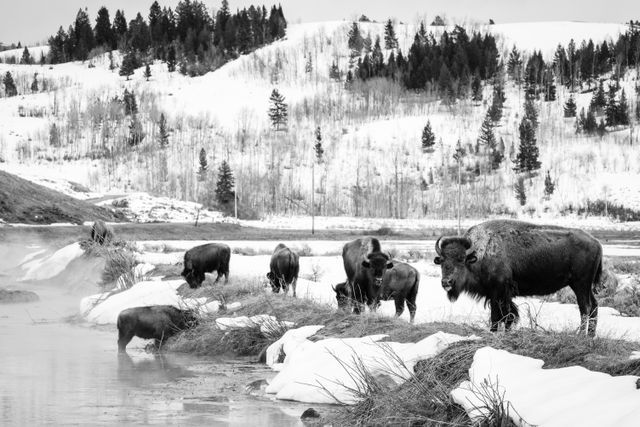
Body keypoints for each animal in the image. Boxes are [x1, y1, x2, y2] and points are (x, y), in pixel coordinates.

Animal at [432, 221, 604, 338]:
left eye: (461, 259)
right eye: (442, 260)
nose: (446, 282)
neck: (481, 252)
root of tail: (597, 243)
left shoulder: (498, 292)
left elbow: (498, 315)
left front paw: (493, 333)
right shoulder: (502, 295)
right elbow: (508, 315)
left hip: (580, 284)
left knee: (585, 307)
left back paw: (581, 335)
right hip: (583, 286)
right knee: (594, 305)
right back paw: (590, 336)